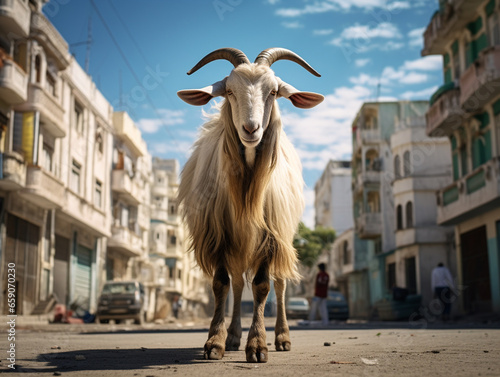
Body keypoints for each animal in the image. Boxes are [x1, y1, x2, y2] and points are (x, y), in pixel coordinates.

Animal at [176, 47, 324, 362]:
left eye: (274, 92)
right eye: (229, 91)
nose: (251, 128)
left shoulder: (271, 236)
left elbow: (262, 285)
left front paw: (257, 345)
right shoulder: (218, 234)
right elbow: (221, 284)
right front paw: (215, 342)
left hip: (283, 234)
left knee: (279, 285)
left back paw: (282, 337)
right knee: (237, 283)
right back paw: (233, 336)